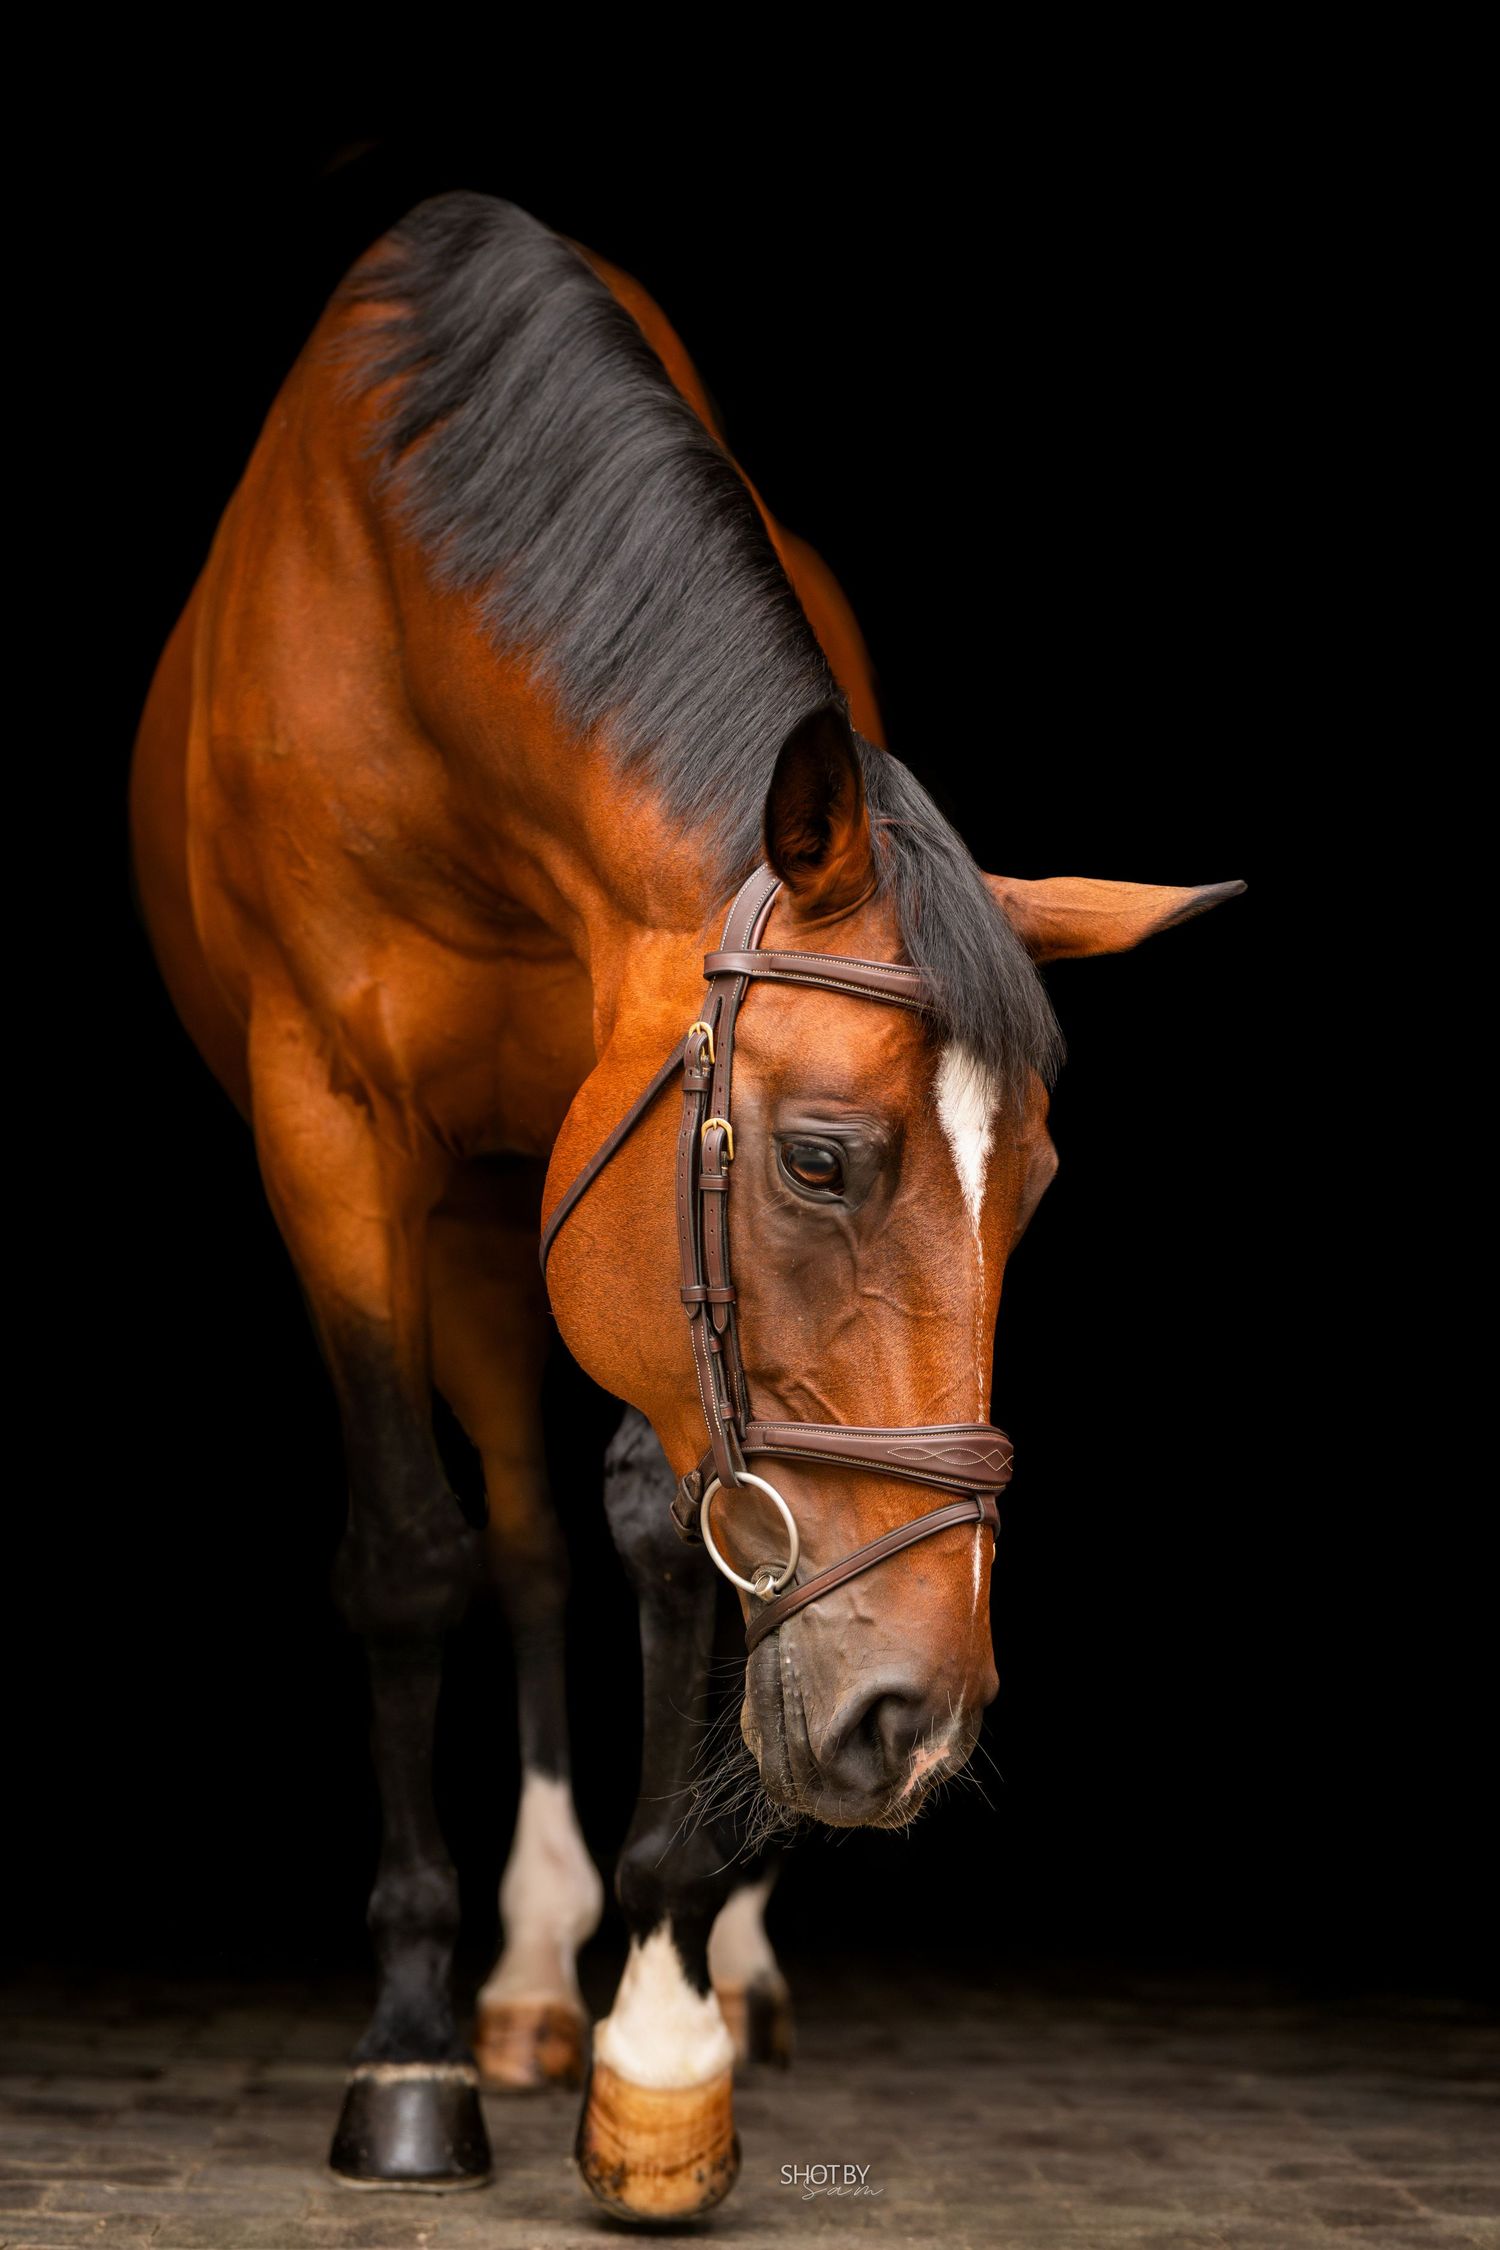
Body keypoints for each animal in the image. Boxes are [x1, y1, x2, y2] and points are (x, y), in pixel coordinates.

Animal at [129, 190, 1243, 2223]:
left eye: (1037, 1194)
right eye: (818, 1159)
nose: (919, 1718)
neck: (417, 609)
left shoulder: (625, 1150)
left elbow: (680, 1532)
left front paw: (663, 2026)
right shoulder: (331, 1131)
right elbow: (412, 1559)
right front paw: (412, 2045)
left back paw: (710, 1957)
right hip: (478, 1219)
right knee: (513, 1543)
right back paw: (516, 1976)